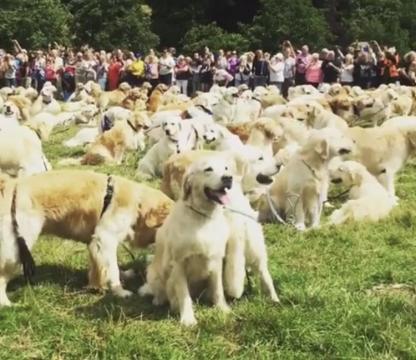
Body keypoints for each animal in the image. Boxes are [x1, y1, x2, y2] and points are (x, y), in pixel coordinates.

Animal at [0, 170, 172, 306]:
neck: (138, 203)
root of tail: (11, 186)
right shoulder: (105, 237)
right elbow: (113, 269)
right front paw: (120, 291)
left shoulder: (95, 243)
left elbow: (103, 266)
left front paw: (101, 284)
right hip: (17, 246)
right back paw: (6, 304)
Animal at [140, 157, 234, 326]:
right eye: (208, 169)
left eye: (226, 168)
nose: (228, 178)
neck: (203, 217)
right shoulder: (179, 263)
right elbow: (184, 295)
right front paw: (188, 319)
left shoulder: (216, 258)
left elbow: (218, 289)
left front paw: (222, 309)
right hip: (153, 273)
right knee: (160, 291)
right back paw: (159, 300)